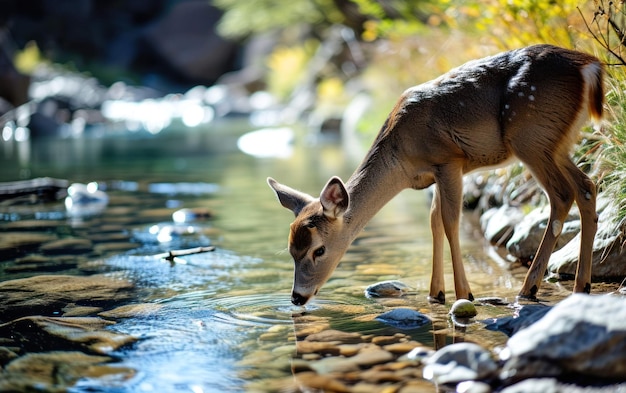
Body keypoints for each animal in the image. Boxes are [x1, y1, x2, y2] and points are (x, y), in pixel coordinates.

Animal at [266, 43, 604, 306]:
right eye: (291, 250)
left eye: (319, 249)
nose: (297, 297)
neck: (402, 158)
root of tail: (590, 67)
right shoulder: (435, 175)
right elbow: (433, 221)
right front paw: (436, 293)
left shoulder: (449, 160)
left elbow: (450, 221)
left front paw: (464, 294)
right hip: (556, 143)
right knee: (587, 187)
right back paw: (581, 286)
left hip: (530, 137)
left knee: (561, 195)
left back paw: (529, 288)